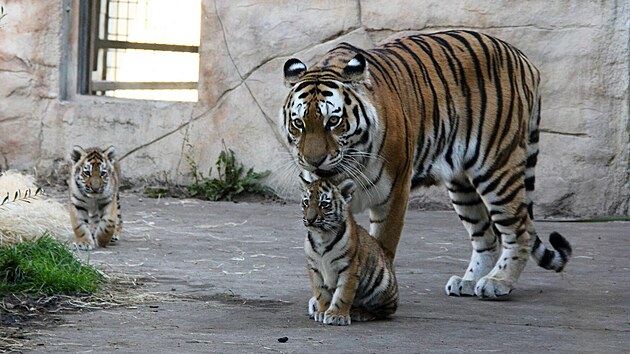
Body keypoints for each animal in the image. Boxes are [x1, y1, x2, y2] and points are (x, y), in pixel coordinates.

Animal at [282, 30, 572, 298]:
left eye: (333, 121)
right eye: (299, 123)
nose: (313, 161)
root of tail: (523, 58)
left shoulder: (394, 193)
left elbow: (381, 248)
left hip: (498, 167)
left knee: (519, 231)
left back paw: (498, 282)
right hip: (462, 184)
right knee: (487, 237)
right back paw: (467, 282)